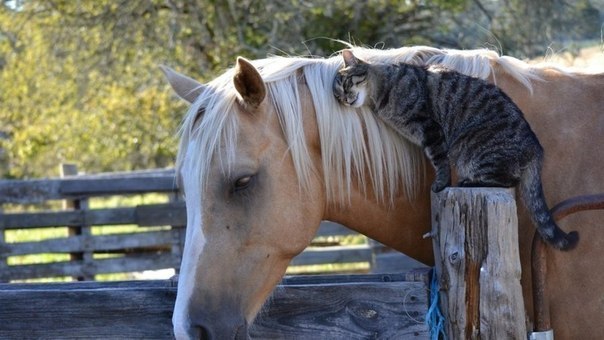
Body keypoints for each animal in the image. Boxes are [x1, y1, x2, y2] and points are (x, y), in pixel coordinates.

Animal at [332, 48, 580, 250]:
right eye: (338, 95)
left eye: (346, 84)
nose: (345, 99)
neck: (382, 92)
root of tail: (535, 147)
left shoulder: (430, 128)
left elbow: (439, 161)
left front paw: (440, 184)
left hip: (470, 148)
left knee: (507, 180)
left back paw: (469, 182)